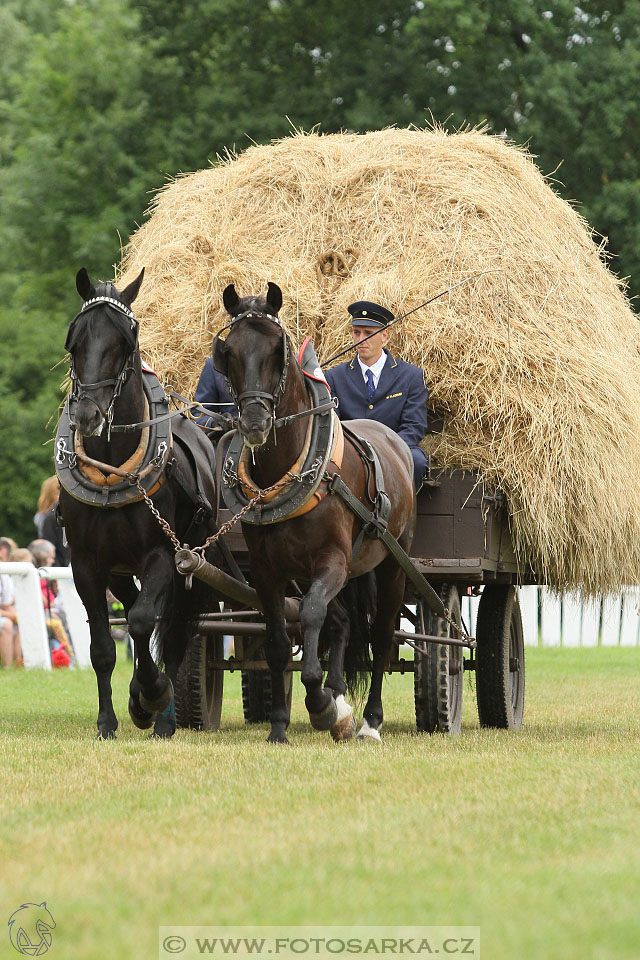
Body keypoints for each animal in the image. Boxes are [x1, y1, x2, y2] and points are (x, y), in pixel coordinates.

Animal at [58, 270, 222, 744]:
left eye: (124, 342)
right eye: (74, 342)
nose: (87, 416)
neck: (112, 469)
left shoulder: (164, 557)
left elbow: (143, 621)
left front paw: (151, 695)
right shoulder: (86, 563)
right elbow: (102, 646)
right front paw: (109, 721)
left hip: (188, 564)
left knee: (170, 632)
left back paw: (164, 716)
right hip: (119, 568)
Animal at [212, 282, 418, 748]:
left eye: (278, 349)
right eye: (228, 351)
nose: (255, 422)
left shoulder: (333, 562)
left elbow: (309, 617)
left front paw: (323, 706)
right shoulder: (267, 572)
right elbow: (276, 641)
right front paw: (280, 726)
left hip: (392, 565)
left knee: (381, 636)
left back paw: (369, 721)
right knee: (341, 622)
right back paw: (341, 700)